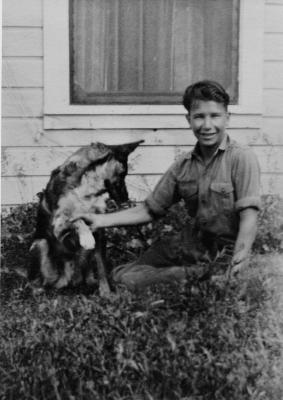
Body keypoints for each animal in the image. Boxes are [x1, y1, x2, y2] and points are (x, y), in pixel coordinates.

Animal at [30, 139, 144, 296]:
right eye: (123, 173)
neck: (87, 188)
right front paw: (86, 237)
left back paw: (88, 282)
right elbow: (76, 219)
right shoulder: (57, 224)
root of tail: (68, 279)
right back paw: (41, 289)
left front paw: (106, 292)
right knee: (41, 281)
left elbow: (102, 267)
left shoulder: (99, 229)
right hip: (40, 244)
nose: (126, 198)